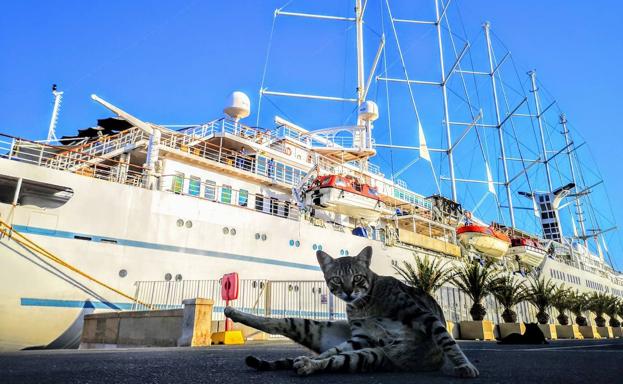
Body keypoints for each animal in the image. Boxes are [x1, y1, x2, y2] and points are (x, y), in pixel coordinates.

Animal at [227, 244, 480, 376]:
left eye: (357, 278)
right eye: (337, 280)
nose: (348, 293)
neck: (363, 306)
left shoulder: (422, 315)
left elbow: (447, 340)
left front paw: (465, 365)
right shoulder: (360, 337)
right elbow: (335, 351)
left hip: (372, 356)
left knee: (332, 358)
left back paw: (308, 363)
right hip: (339, 340)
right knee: (287, 328)